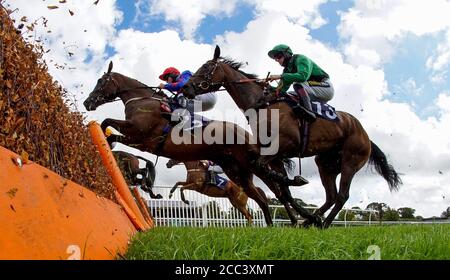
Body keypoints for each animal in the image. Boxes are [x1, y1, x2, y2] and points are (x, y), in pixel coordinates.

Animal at [82, 61, 282, 225]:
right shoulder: (139, 142)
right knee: (260, 198)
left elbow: (106, 122)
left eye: (101, 81)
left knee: (269, 192)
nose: (87, 102)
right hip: (237, 170)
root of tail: (247, 134)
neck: (143, 102)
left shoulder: (138, 134)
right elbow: (110, 131)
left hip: (247, 165)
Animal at [183, 46, 404, 229]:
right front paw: (299, 211)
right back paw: (312, 220)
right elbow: (283, 191)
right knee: (331, 196)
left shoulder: (285, 145)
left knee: (342, 196)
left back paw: (323, 223)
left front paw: (296, 188)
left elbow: (272, 176)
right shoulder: (275, 156)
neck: (263, 104)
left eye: (206, 67)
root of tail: (365, 135)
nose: (186, 88)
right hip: (326, 164)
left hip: (351, 161)